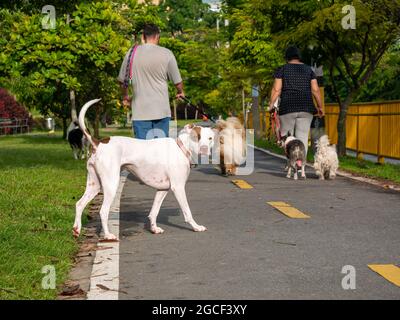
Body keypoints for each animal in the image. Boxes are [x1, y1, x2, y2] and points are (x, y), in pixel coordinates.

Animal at [72, 99, 216, 239]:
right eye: (196, 137)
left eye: (210, 138)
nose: (204, 149)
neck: (181, 148)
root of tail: (99, 143)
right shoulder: (178, 187)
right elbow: (187, 211)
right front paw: (196, 227)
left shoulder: (162, 189)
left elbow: (154, 211)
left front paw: (153, 228)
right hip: (111, 185)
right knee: (103, 211)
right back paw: (107, 235)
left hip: (94, 186)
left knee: (79, 204)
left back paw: (76, 230)